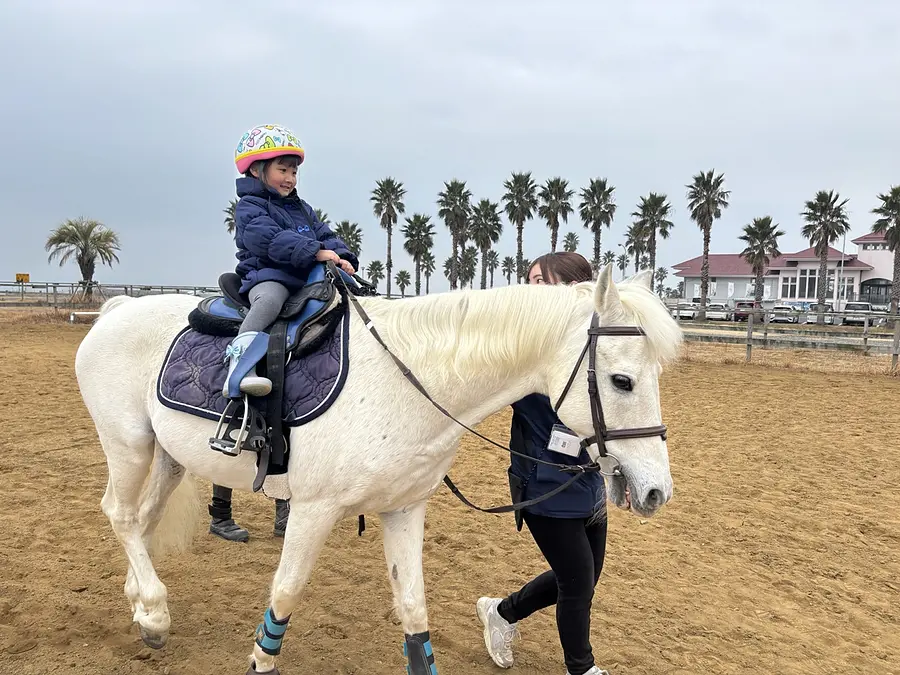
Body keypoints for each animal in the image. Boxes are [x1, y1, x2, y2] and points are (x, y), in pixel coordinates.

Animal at [73, 264, 683, 674]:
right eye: (622, 381)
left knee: (142, 519)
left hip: (169, 458)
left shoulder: (403, 509)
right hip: (129, 444)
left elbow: (413, 610)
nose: (656, 491)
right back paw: (154, 612)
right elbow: (286, 593)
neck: (410, 380)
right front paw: (261, 658)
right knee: (119, 512)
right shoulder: (312, 510)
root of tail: (117, 310)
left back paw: (142, 605)